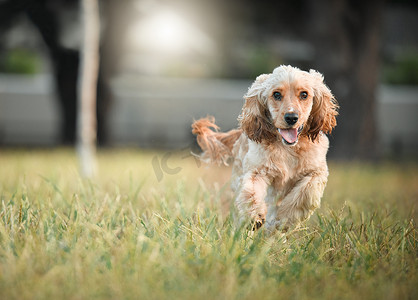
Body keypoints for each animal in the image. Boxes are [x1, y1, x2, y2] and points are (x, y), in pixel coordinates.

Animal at [191, 64, 338, 231]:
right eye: (276, 94)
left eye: (304, 94)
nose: (291, 118)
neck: (288, 148)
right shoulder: (257, 171)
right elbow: (251, 193)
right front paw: (255, 217)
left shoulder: (317, 172)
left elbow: (305, 194)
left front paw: (285, 220)